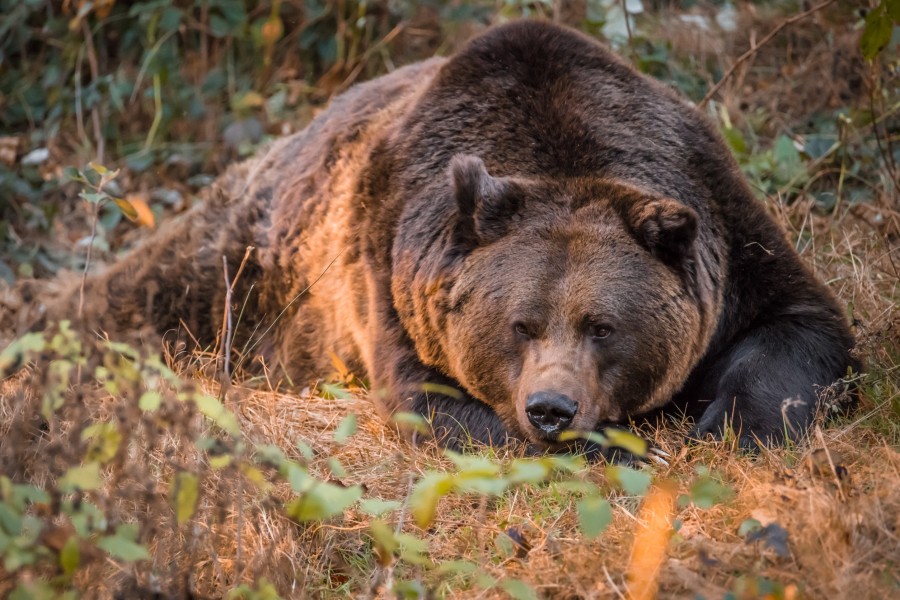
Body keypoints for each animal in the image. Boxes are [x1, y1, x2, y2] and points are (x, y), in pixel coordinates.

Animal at [42, 22, 856, 450]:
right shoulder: (393, 262)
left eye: (602, 326)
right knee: (148, 290)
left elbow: (801, 328)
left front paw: (729, 422)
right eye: (521, 323)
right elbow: (432, 398)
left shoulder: (721, 216)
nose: (552, 409)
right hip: (253, 265)